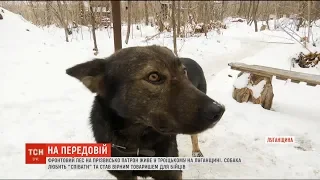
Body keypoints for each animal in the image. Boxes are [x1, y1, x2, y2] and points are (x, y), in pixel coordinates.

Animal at [66, 45, 224, 179]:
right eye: (153, 76)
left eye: (183, 72)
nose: (219, 110)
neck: (137, 142)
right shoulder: (124, 175)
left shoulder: (171, 173)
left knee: (194, 135)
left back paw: (196, 151)